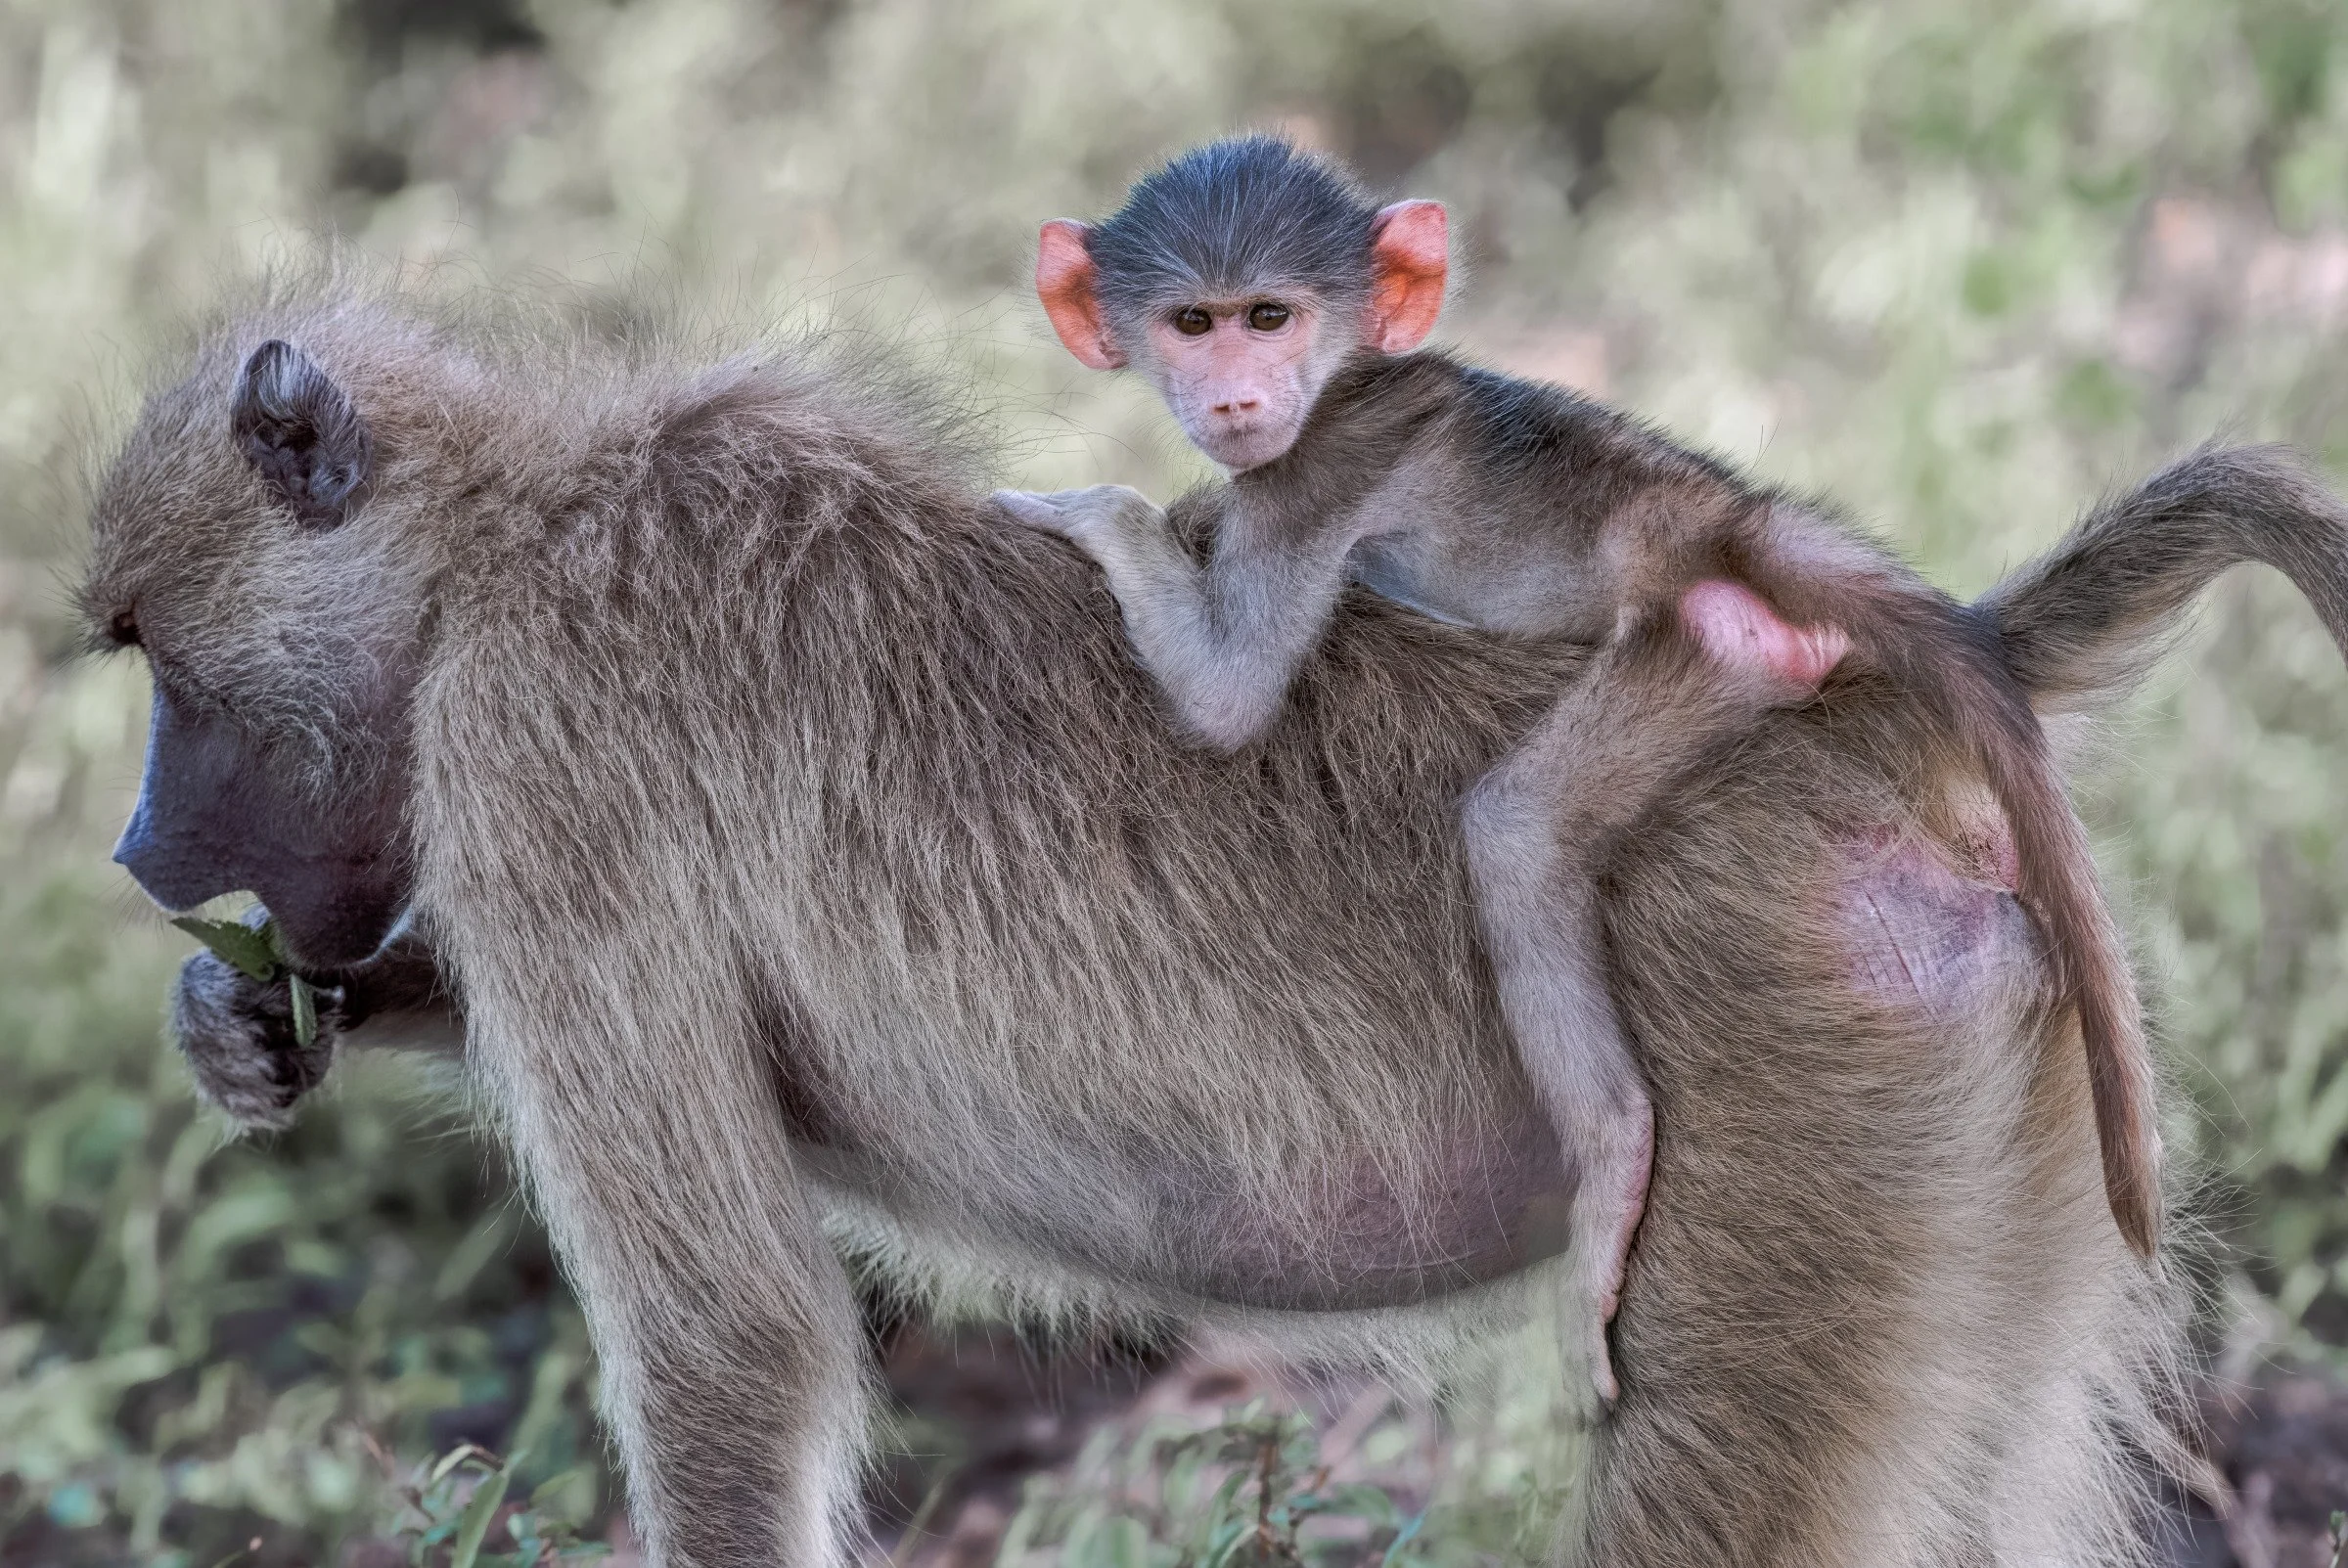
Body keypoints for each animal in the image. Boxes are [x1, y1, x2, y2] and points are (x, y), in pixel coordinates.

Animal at [84, 271, 2348, 1565]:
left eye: (148, 659)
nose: (127, 849)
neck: (505, 532)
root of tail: (1909, 667)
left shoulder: (535, 751)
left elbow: (730, 1335)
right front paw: (243, 1030)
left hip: (1809, 1061)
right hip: (2016, 1089)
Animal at [995, 138, 2158, 1391]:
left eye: (1268, 316)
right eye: (1191, 323)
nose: (1236, 398)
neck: (1350, 379)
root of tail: (1721, 517)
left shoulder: (1313, 482)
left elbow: (1226, 700)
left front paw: (1087, 509)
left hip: (1698, 653)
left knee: (1516, 832)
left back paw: (1614, 1152)